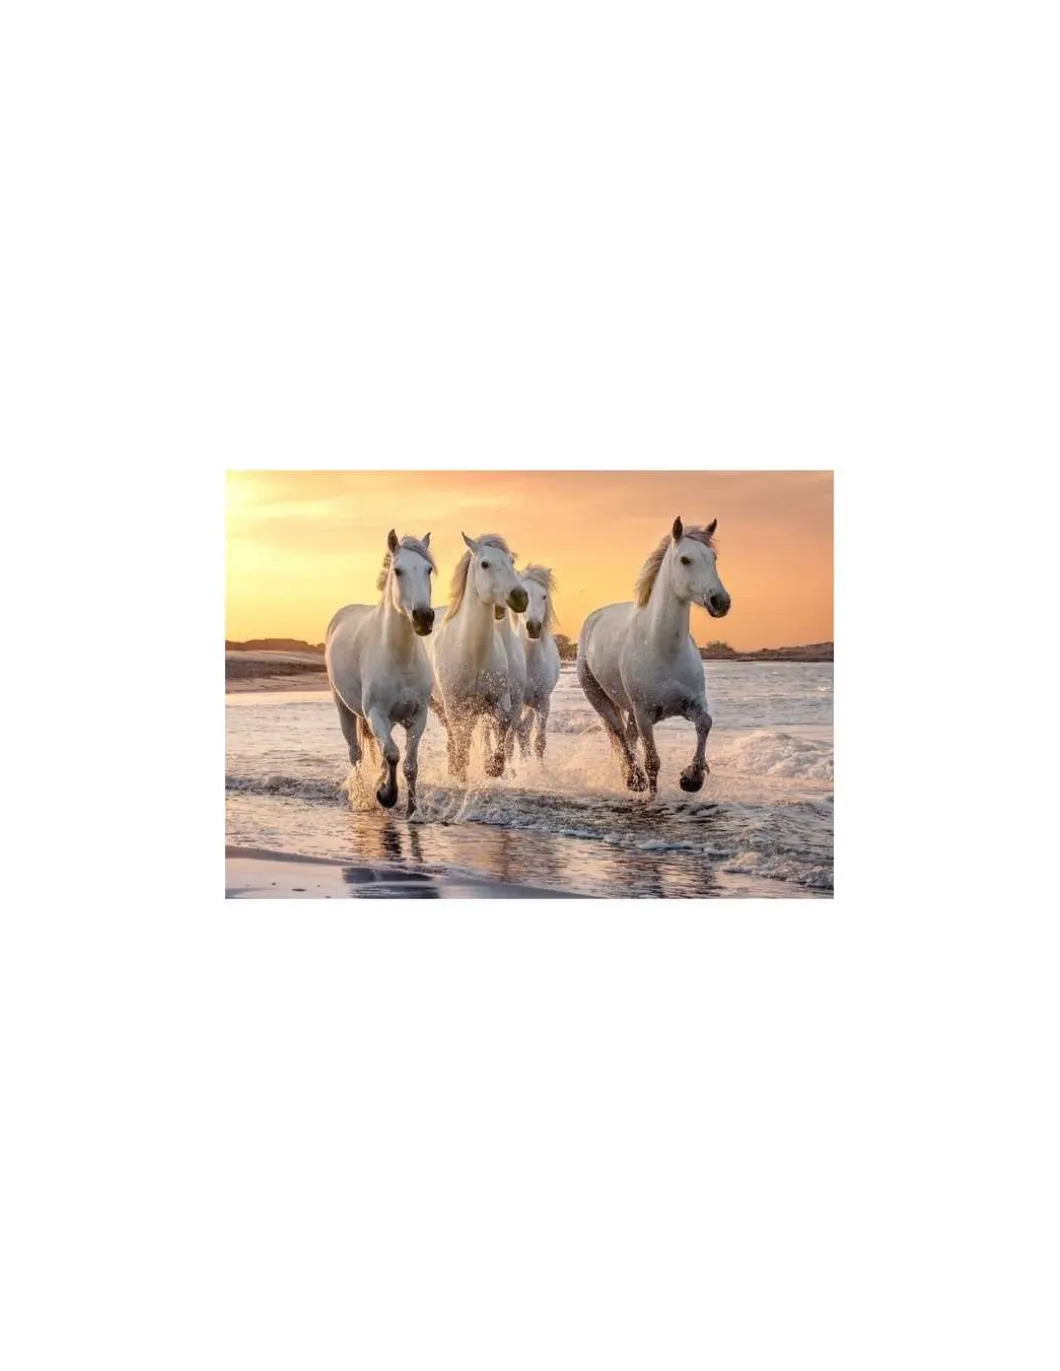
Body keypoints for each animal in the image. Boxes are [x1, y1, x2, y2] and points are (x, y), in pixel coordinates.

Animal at [325, 530, 436, 816]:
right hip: (344, 709)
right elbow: (393, 754)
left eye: (428, 569)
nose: (423, 617)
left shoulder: (418, 716)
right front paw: (386, 795)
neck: (399, 658)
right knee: (356, 755)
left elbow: (409, 764)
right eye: (398, 570)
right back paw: (363, 797)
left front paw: (413, 810)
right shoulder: (376, 714)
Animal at [428, 532, 528, 782]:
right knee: (452, 735)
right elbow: (461, 741)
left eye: (511, 561)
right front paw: (460, 772)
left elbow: (502, 724)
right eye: (485, 564)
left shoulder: (500, 700)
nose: (520, 597)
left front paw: (493, 767)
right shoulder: (455, 706)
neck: (474, 654)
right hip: (438, 705)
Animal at [576, 517, 731, 797]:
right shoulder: (645, 714)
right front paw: (653, 795)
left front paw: (692, 778)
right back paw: (633, 779)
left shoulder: (692, 704)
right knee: (620, 734)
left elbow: (705, 723)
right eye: (685, 560)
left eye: (713, 557)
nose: (720, 601)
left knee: (628, 737)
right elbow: (652, 762)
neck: (664, 651)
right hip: (600, 698)